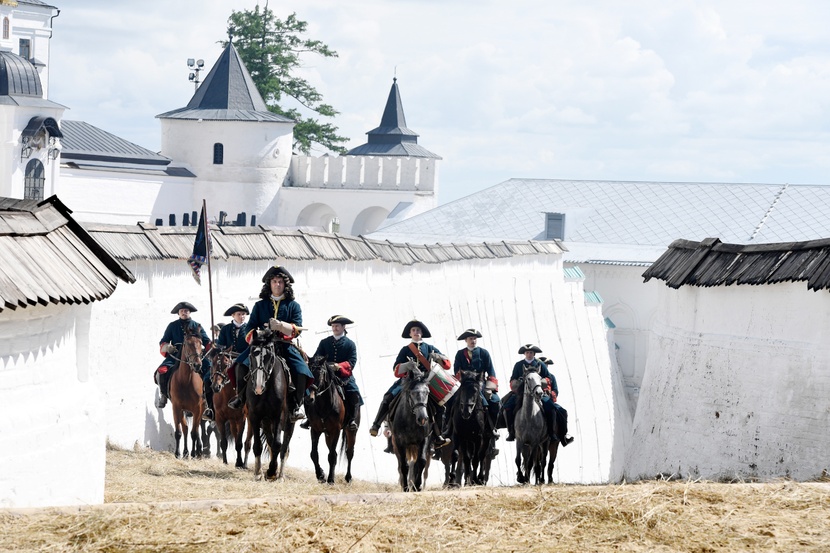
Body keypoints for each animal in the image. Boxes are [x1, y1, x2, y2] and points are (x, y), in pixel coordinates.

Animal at [168, 324, 207, 458]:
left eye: (201, 343)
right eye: (187, 343)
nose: (197, 365)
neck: (185, 382)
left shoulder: (197, 409)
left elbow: (194, 433)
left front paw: (194, 453)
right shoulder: (176, 407)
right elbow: (179, 432)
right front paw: (178, 453)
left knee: (197, 429)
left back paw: (197, 451)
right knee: (185, 429)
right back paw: (185, 452)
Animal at [390, 362, 432, 492]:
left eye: (427, 392)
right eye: (413, 392)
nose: (423, 418)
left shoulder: (424, 439)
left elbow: (421, 461)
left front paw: (417, 486)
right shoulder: (399, 442)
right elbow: (404, 465)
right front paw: (405, 488)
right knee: (401, 464)